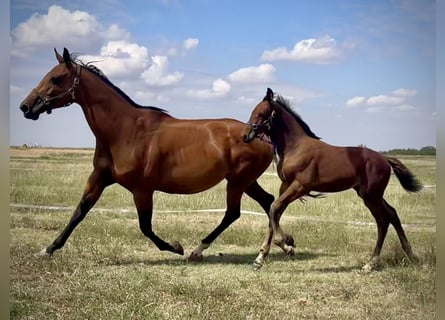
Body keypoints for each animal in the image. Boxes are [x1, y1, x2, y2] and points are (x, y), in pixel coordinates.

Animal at [20, 48, 294, 262]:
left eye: (56, 78)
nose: (25, 106)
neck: (125, 131)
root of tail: (260, 135)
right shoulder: (99, 178)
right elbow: (79, 211)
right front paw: (48, 248)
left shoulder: (142, 189)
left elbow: (145, 226)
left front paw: (176, 247)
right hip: (245, 181)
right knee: (268, 201)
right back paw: (285, 243)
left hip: (237, 181)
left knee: (234, 213)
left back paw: (198, 249)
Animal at [241, 87, 422, 270]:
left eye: (261, 113)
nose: (246, 136)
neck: (296, 147)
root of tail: (384, 159)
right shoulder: (285, 185)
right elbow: (274, 212)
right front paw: (260, 258)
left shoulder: (300, 186)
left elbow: (274, 208)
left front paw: (287, 247)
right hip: (369, 194)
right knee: (391, 214)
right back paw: (409, 255)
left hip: (372, 196)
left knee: (382, 221)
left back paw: (371, 263)